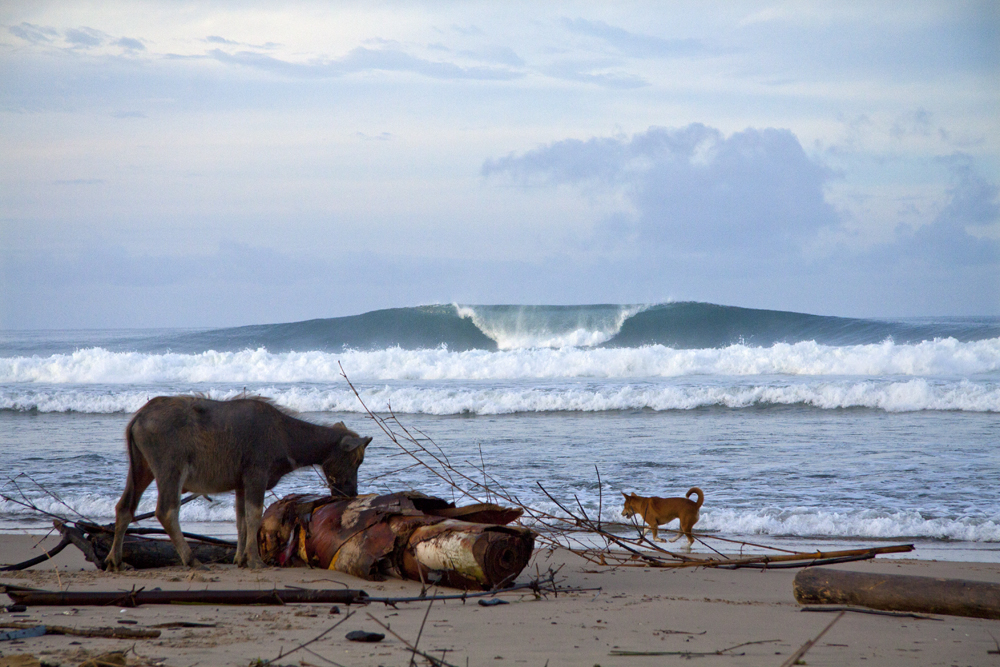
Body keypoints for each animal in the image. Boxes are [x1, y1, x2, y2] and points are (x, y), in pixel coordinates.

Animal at [105, 396, 374, 568]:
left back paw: (115, 561)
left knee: (124, 507)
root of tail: (139, 417)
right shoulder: (256, 476)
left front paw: (240, 558)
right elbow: (254, 516)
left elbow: (241, 521)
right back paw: (192, 560)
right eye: (357, 460)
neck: (285, 435)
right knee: (166, 511)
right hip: (170, 470)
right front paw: (254, 560)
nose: (351, 492)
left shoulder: (240, 485)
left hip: (141, 469)